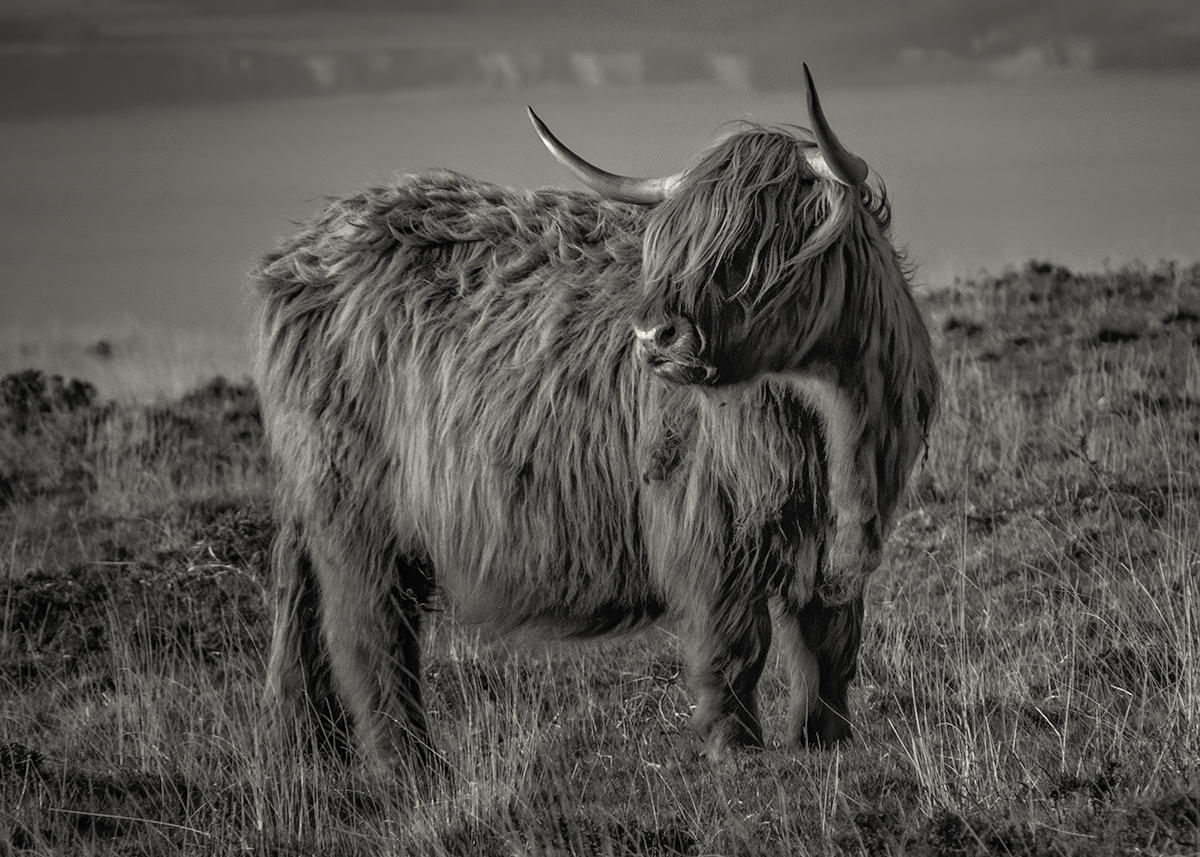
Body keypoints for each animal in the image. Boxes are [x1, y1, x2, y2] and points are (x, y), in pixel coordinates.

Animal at [253, 63, 940, 772]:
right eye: (673, 244)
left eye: (760, 244)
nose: (655, 334)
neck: (836, 428)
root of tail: (306, 251)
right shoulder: (706, 530)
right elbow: (734, 646)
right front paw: (735, 750)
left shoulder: (841, 543)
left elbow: (830, 643)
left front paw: (825, 740)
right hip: (356, 509)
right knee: (369, 628)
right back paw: (411, 763)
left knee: (307, 613)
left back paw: (307, 744)